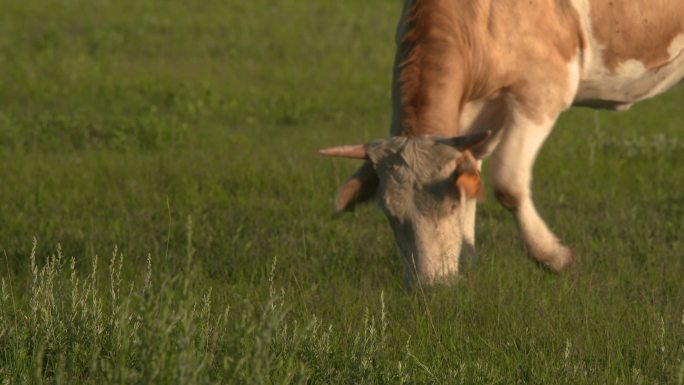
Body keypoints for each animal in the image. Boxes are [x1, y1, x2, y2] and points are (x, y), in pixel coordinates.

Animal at [320, 0, 684, 284]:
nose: (430, 286)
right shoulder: (476, 111)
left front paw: (554, 257)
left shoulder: (542, 92)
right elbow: (471, 175)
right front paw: (467, 264)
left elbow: (507, 184)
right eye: (390, 215)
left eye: (449, 207)